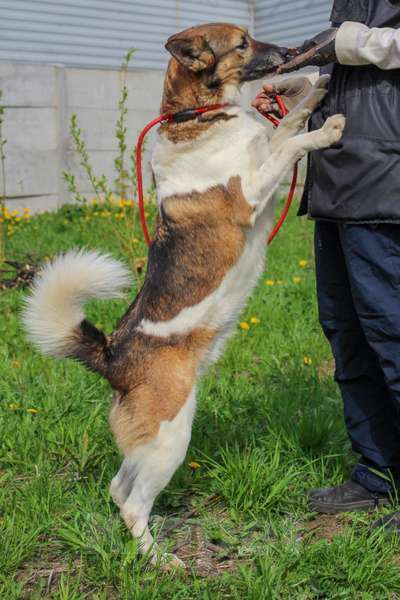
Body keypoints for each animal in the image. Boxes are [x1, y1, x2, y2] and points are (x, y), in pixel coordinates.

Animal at [23, 23, 346, 568]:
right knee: (132, 502)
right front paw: (325, 129)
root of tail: (112, 356)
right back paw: (159, 562)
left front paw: (313, 88)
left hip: (155, 438)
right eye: (242, 43)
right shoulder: (252, 188)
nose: (291, 51)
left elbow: (284, 124)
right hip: (171, 434)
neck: (201, 115)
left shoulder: (263, 152)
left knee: (118, 488)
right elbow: (290, 144)